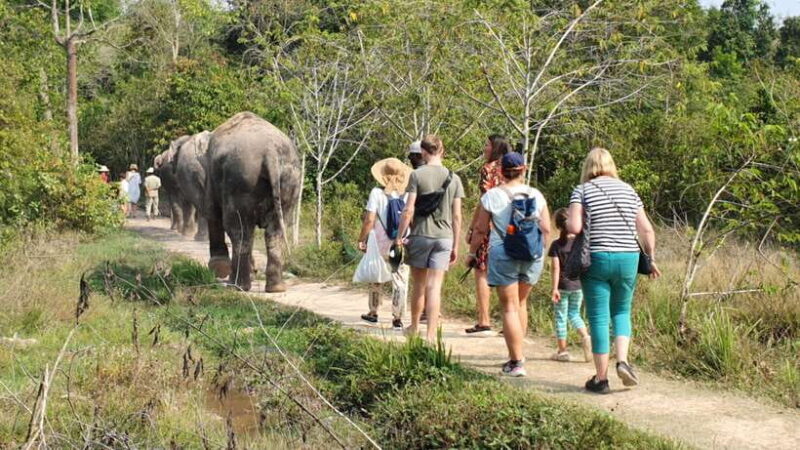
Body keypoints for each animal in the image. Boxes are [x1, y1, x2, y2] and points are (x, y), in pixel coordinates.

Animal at [205, 112, 301, 292]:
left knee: (239, 230)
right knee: (275, 231)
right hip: (290, 179)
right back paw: (276, 288)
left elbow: (213, 210)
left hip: (242, 180)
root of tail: (270, 152)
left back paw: (237, 286)